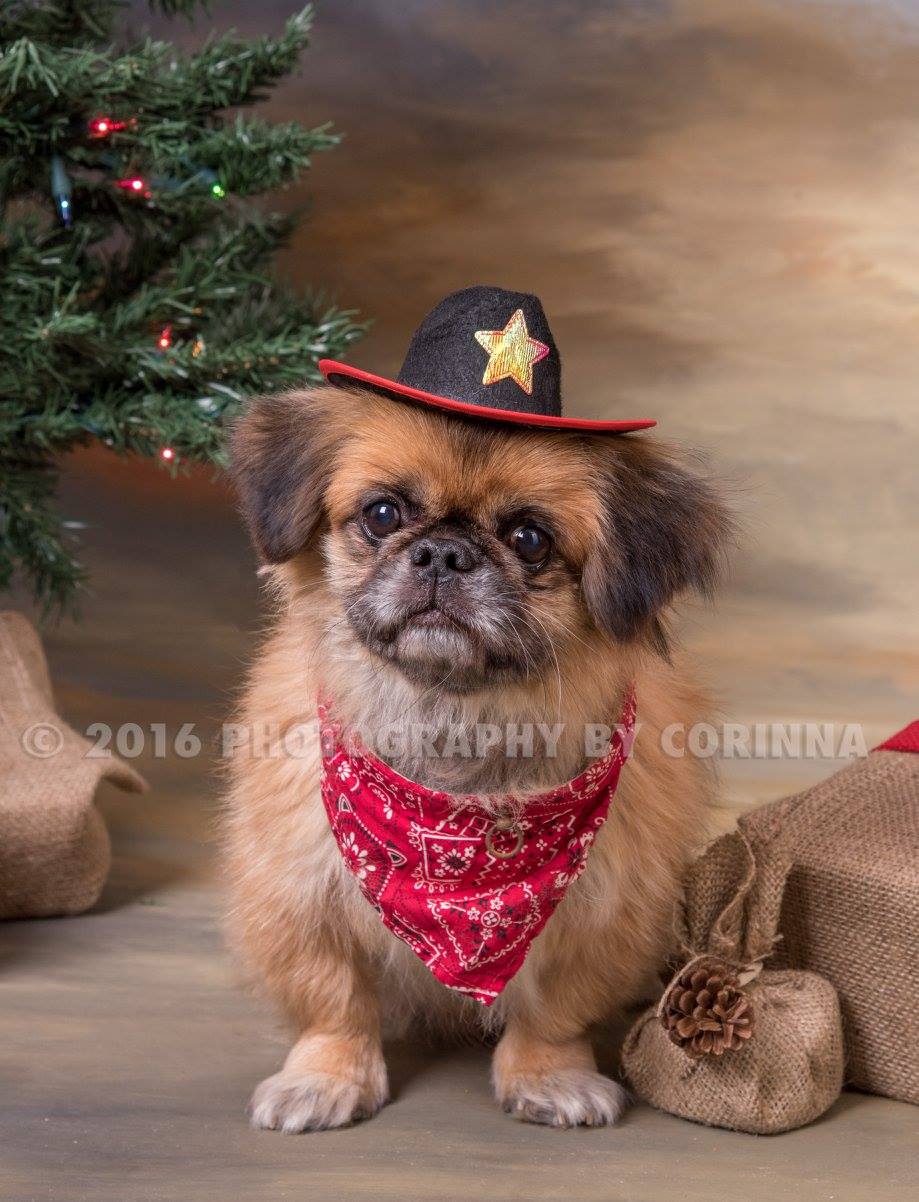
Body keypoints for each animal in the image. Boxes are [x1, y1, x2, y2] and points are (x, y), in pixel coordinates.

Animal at [222, 362, 731, 1131]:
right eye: (382, 515)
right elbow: (334, 1003)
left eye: (529, 538)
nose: (444, 552)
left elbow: (555, 1011)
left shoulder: (607, 911)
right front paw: (323, 1079)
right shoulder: (298, 895)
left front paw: (550, 1077)